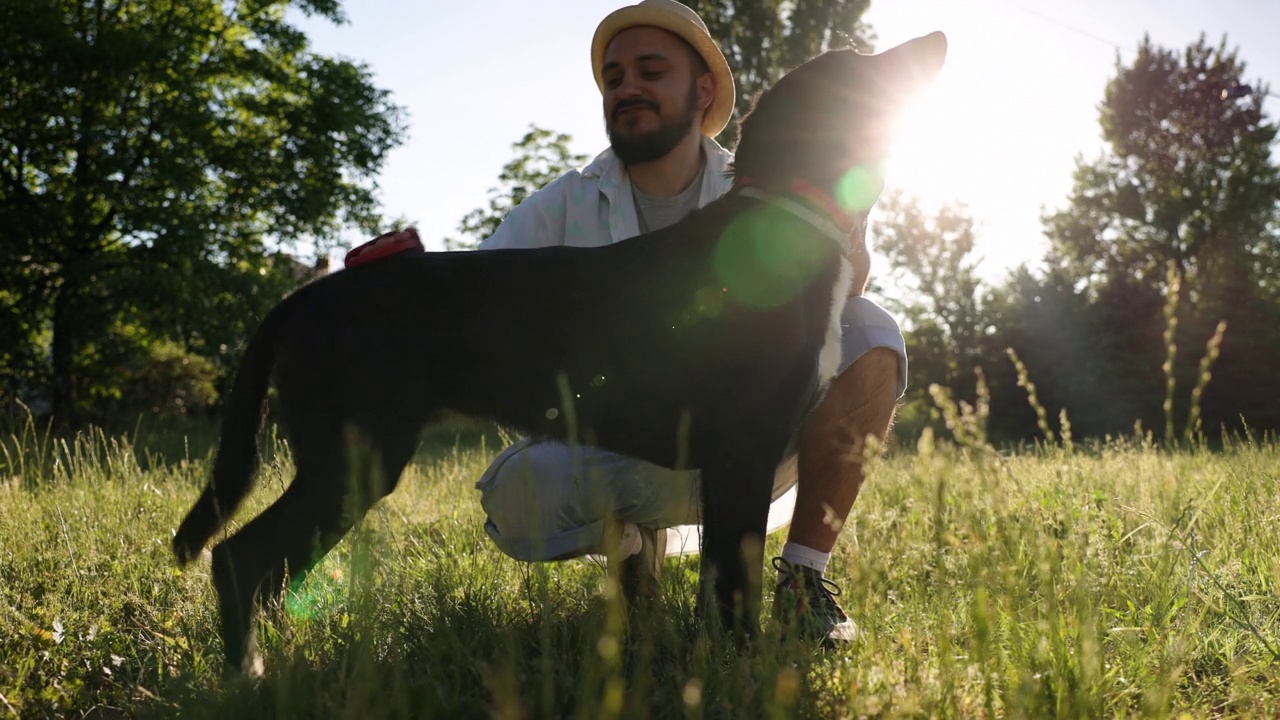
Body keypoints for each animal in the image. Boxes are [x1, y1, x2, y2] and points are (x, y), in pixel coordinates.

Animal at [175, 33, 947, 671]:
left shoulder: (732, 466)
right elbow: (735, 587)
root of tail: (304, 297)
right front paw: (748, 670)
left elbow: (720, 585)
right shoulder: (743, 454)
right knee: (238, 558)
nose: (938, 37)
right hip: (352, 457)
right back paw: (249, 676)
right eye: (862, 64)